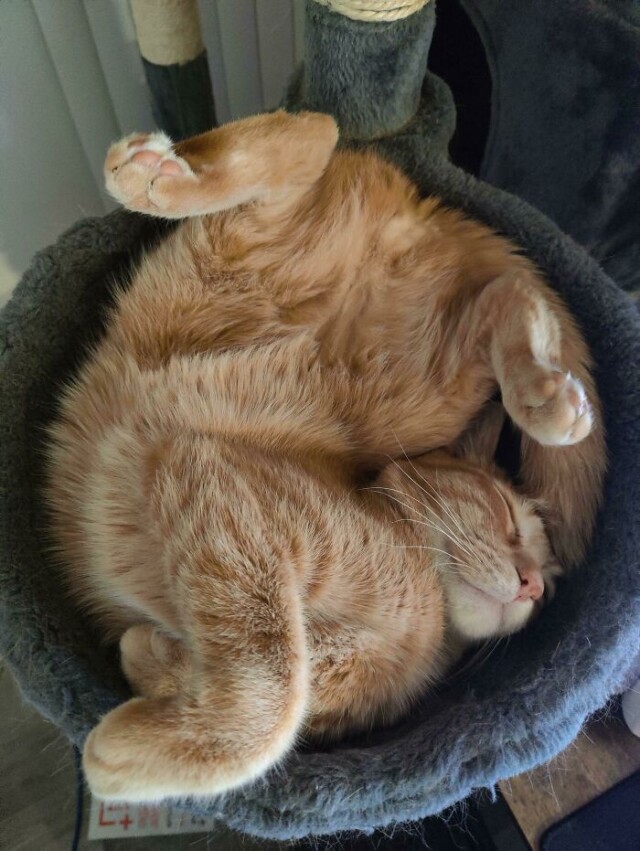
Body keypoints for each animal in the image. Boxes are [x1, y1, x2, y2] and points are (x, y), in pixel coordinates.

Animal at [45, 110, 605, 803]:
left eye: (548, 589)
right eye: (506, 515)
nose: (530, 584)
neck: (426, 611)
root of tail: (429, 204)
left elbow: (288, 683)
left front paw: (151, 667)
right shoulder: (221, 489)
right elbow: (277, 690)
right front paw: (115, 756)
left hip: (427, 380)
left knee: (501, 291)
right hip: (383, 361)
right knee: (312, 139)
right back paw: (154, 174)